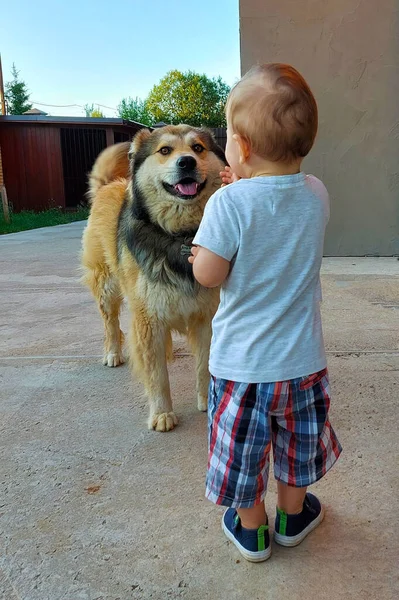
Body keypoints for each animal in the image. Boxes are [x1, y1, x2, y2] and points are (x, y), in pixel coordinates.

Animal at [82, 124, 225, 428]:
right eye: (165, 150)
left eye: (198, 148)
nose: (187, 162)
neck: (180, 235)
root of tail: (107, 186)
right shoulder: (148, 316)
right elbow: (156, 373)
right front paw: (161, 413)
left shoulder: (206, 314)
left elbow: (204, 363)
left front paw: (206, 401)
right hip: (106, 286)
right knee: (111, 323)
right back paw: (113, 353)